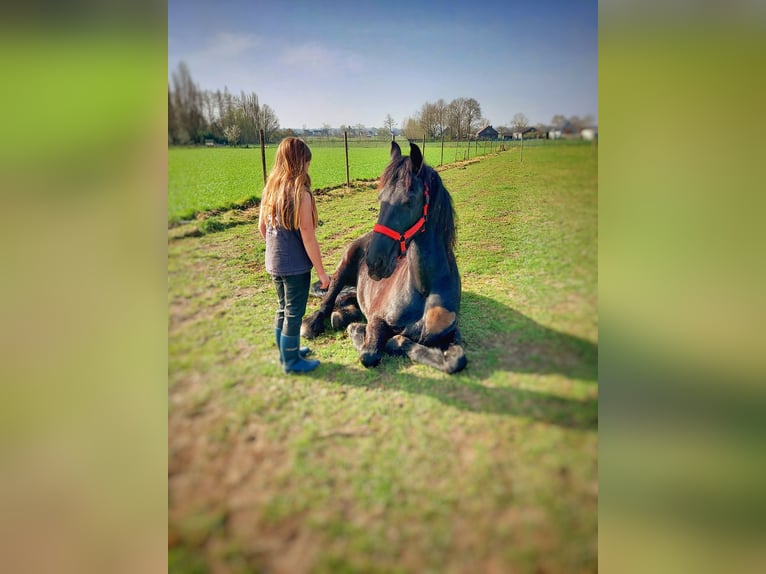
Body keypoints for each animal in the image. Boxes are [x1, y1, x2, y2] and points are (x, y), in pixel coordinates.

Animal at [302, 142, 468, 376]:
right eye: (380, 198)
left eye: (409, 201)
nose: (374, 261)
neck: (424, 290)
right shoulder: (377, 320)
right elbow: (369, 353)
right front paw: (358, 330)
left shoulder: (451, 333)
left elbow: (456, 360)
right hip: (344, 266)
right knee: (329, 299)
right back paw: (315, 323)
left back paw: (343, 315)